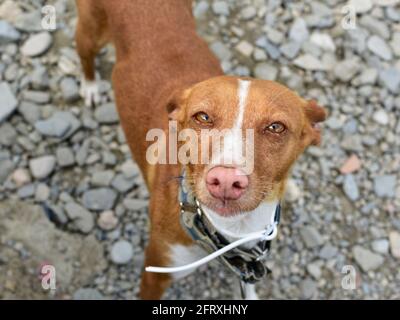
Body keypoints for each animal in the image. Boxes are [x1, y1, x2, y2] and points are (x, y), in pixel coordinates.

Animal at [74, 0, 324, 300]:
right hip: (90, 30)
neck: (231, 230)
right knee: (85, 54)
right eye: (202, 117)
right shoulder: (156, 271)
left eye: (276, 127)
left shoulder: (248, 261)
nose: (226, 180)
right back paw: (90, 85)